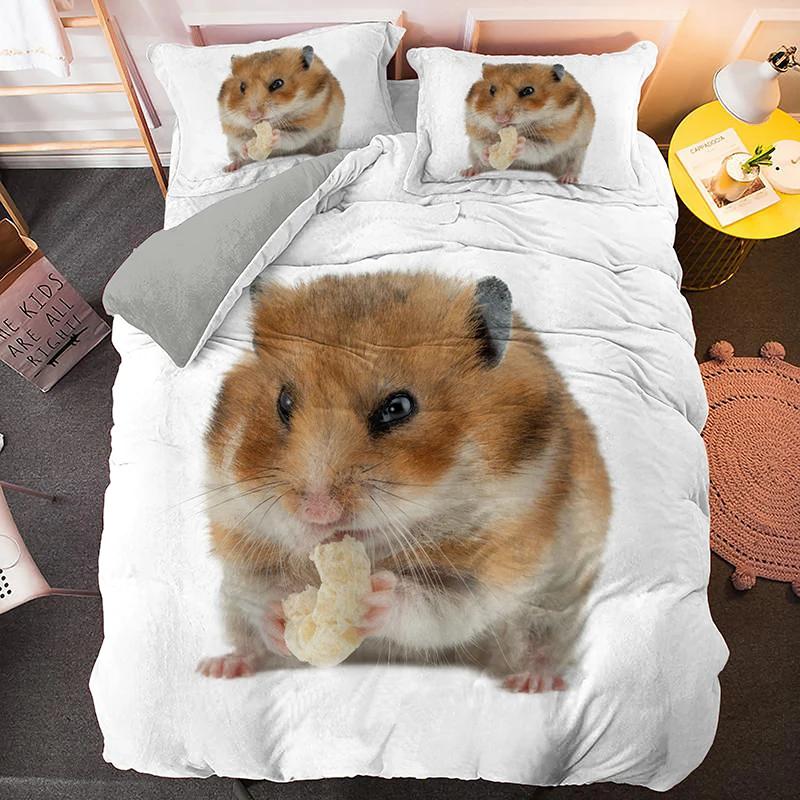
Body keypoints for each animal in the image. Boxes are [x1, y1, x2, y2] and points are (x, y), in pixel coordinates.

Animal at [197, 271, 610, 692]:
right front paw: (279, 612)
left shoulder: (499, 560)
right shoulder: (238, 533)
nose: (317, 513)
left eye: (398, 408)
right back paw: (220, 667)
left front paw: (371, 599)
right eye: (284, 403)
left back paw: (533, 681)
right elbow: (255, 592)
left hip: (554, 606)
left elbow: (438, 607)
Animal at [463, 63, 595, 183]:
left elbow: (535, 148)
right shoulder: (477, 130)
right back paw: (467, 172)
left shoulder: (552, 139)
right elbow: (481, 146)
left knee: (572, 166)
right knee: (478, 163)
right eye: (492, 90)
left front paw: (518, 144)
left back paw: (567, 179)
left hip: (578, 151)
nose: (501, 119)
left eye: (528, 90)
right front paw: (487, 152)